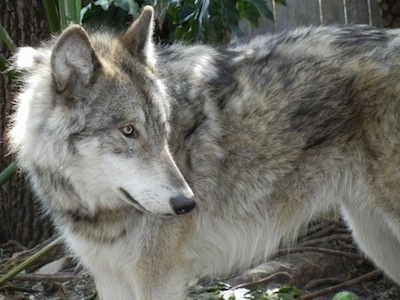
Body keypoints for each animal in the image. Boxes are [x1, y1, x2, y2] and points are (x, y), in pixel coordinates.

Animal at [7, 5, 400, 300]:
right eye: (129, 131)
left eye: (163, 128)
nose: (186, 204)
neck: (98, 211)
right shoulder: (111, 279)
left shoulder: (159, 280)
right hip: (373, 238)